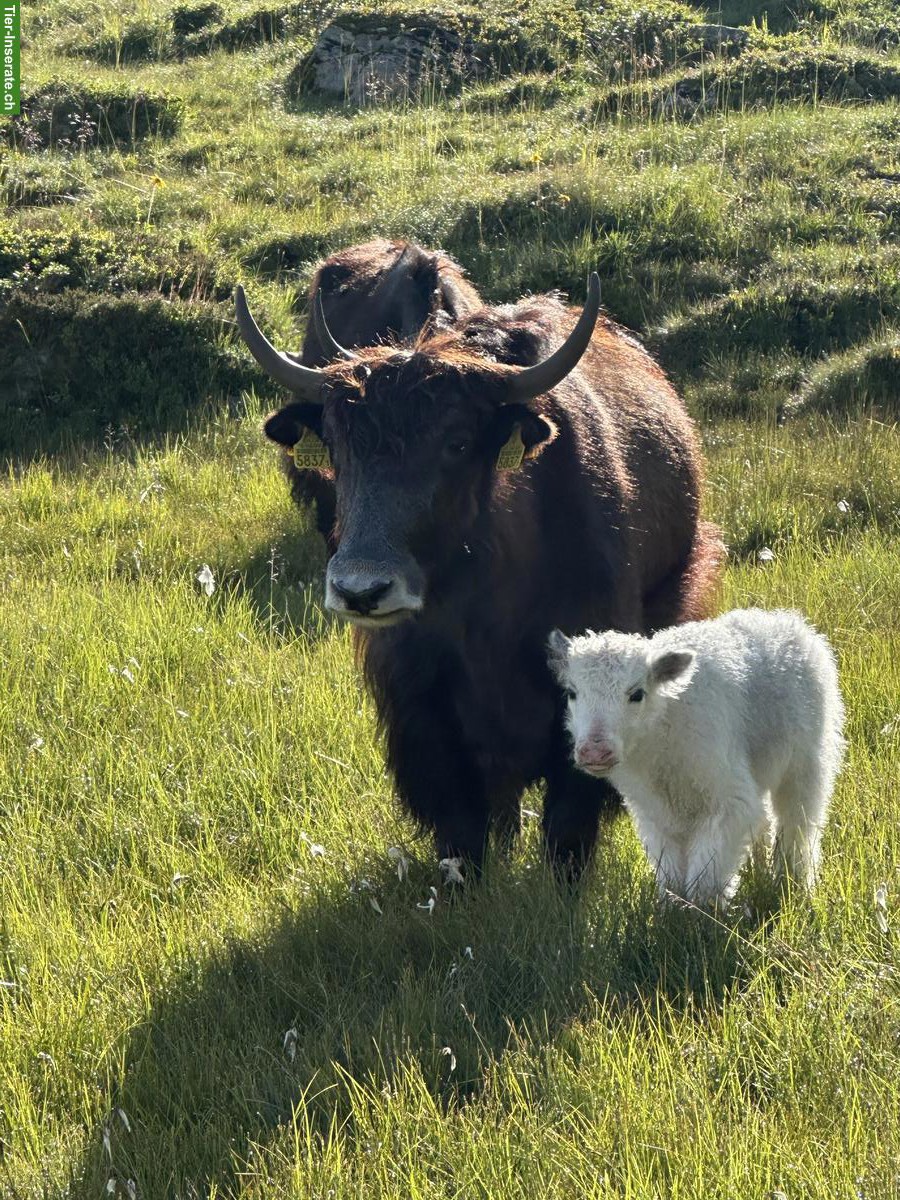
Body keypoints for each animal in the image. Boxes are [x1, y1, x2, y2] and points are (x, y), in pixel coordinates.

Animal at [236, 259, 722, 880]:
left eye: (459, 442)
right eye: (340, 450)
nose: (361, 590)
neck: (487, 604)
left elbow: (569, 821)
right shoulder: (420, 706)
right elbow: (460, 823)